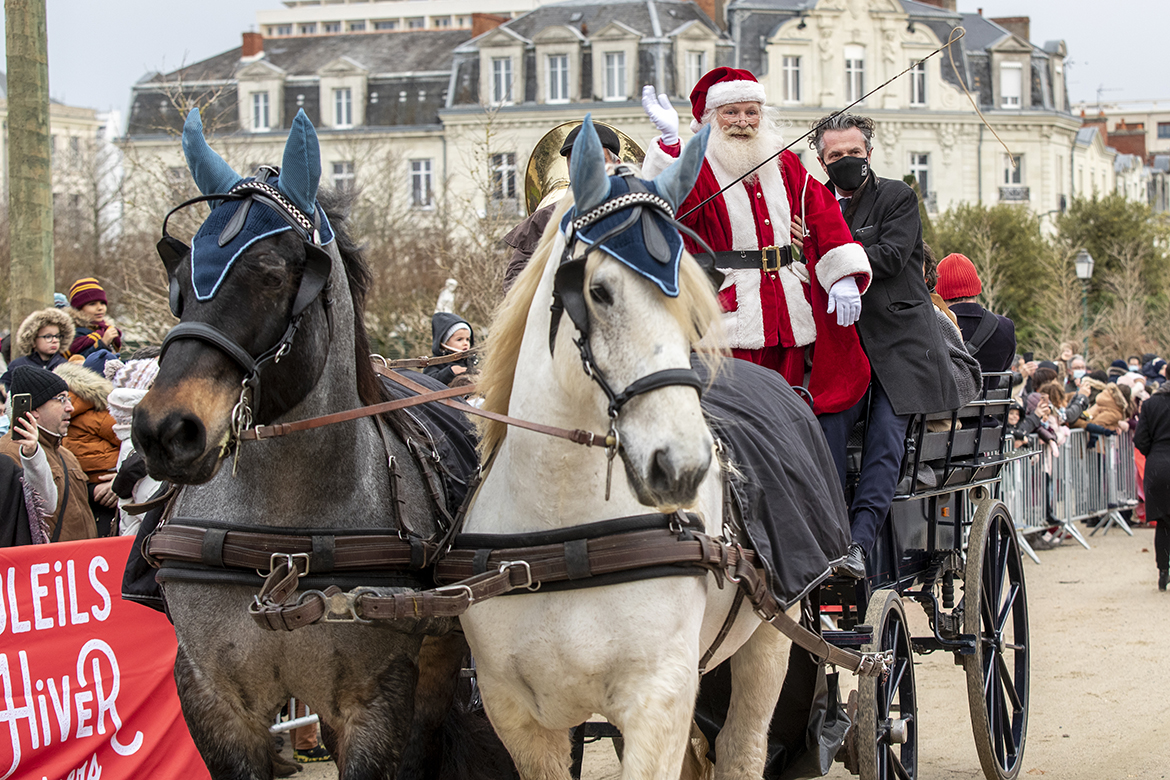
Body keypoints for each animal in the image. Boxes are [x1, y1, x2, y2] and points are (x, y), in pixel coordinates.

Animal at [132, 109, 498, 780]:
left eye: (273, 274)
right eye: (180, 279)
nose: (164, 430)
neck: (282, 540)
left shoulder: (374, 701)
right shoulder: (214, 701)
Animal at [456, 117, 795, 780]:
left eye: (697, 295)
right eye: (600, 290)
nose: (683, 465)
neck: (566, 534)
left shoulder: (657, 699)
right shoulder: (516, 717)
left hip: (770, 634)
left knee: (743, 747)